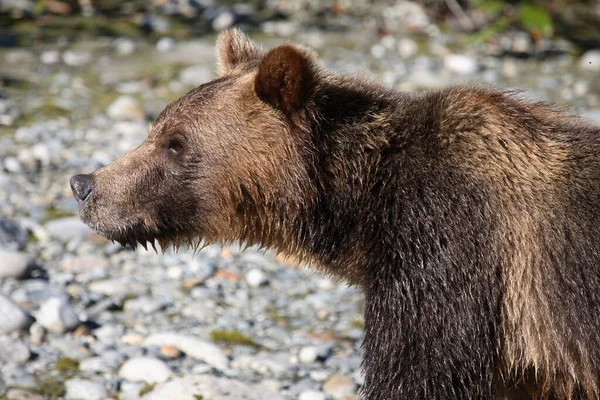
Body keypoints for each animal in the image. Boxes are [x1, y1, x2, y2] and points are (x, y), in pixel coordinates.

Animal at [71, 29, 600, 398]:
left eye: (175, 143)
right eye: (156, 127)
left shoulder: (459, 256)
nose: (84, 186)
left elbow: (420, 369)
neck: (362, 207)